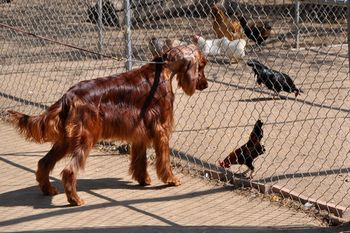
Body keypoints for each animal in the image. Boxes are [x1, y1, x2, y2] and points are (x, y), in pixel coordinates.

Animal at [6, 43, 208, 206]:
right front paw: (171, 179)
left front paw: (143, 179)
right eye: (202, 64)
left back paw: (48, 190)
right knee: (68, 171)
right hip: (85, 138)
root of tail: (69, 96)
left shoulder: (139, 132)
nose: (205, 85)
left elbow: (140, 160)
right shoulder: (161, 130)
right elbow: (164, 160)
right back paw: (75, 199)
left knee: (44, 162)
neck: (163, 70)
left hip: (66, 139)